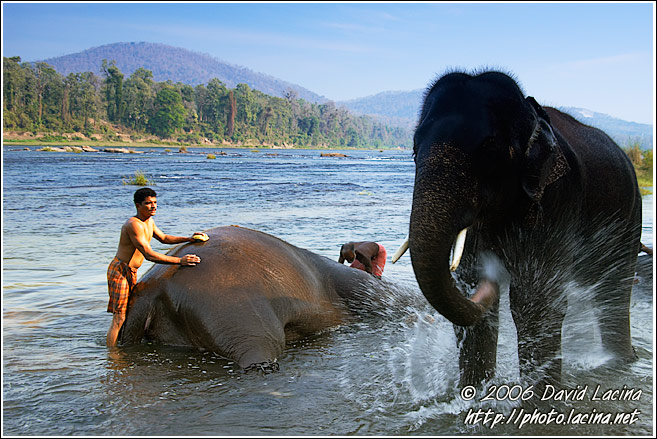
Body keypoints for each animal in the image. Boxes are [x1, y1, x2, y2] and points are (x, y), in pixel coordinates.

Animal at [395, 70, 642, 388]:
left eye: (489, 152)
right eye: (414, 151)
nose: (491, 283)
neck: (530, 113)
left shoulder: (557, 198)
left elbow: (534, 302)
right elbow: (471, 287)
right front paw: (473, 394)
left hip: (629, 218)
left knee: (615, 289)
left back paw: (622, 362)